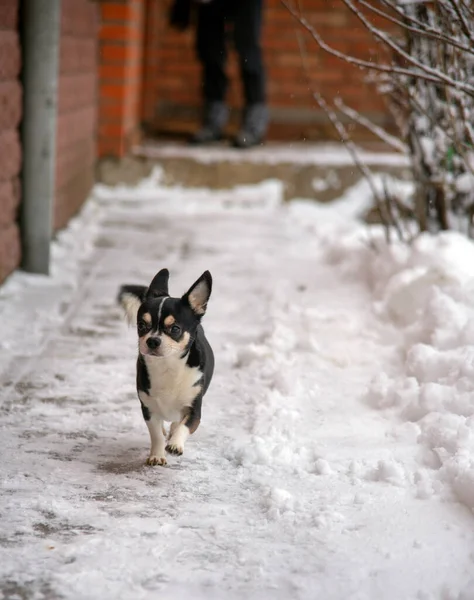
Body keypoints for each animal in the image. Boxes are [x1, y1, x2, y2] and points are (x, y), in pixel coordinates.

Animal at [117, 270, 214, 466]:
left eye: (175, 329)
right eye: (141, 326)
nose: (152, 340)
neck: (168, 365)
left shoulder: (194, 410)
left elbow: (185, 426)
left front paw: (175, 444)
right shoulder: (149, 409)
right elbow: (156, 435)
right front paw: (157, 454)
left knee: (177, 422)